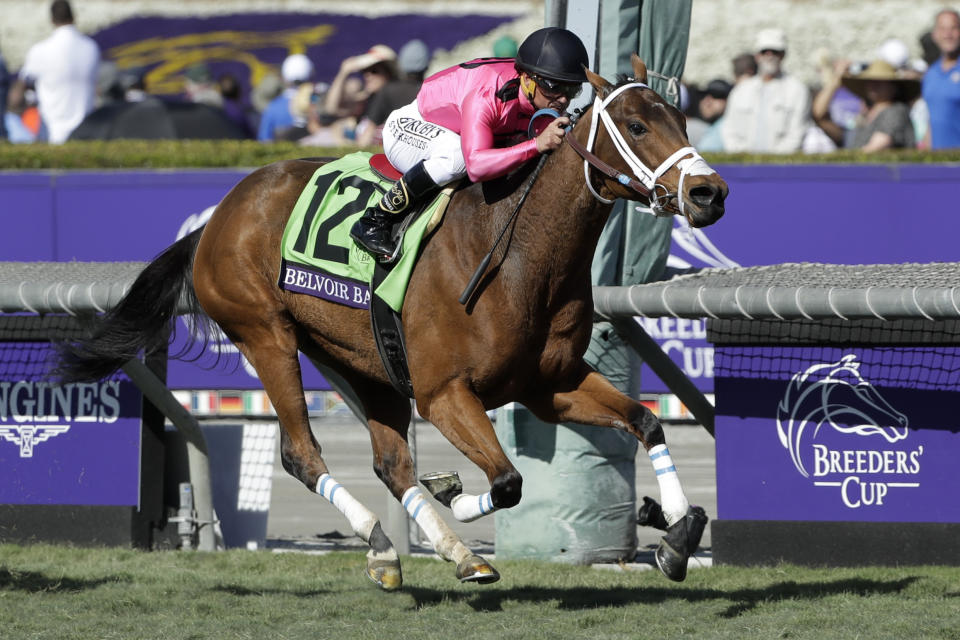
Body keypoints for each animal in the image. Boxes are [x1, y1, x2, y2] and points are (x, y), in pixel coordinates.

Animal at [56, 56, 724, 592]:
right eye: (636, 126)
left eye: (682, 120)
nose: (708, 192)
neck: (518, 255)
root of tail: (218, 216)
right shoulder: (444, 392)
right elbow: (507, 480)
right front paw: (456, 492)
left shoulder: (548, 384)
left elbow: (645, 423)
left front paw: (675, 530)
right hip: (267, 336)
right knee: (303, 455)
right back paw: (389, 540)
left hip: (362, 359)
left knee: (390, 464)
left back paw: (434, 554)